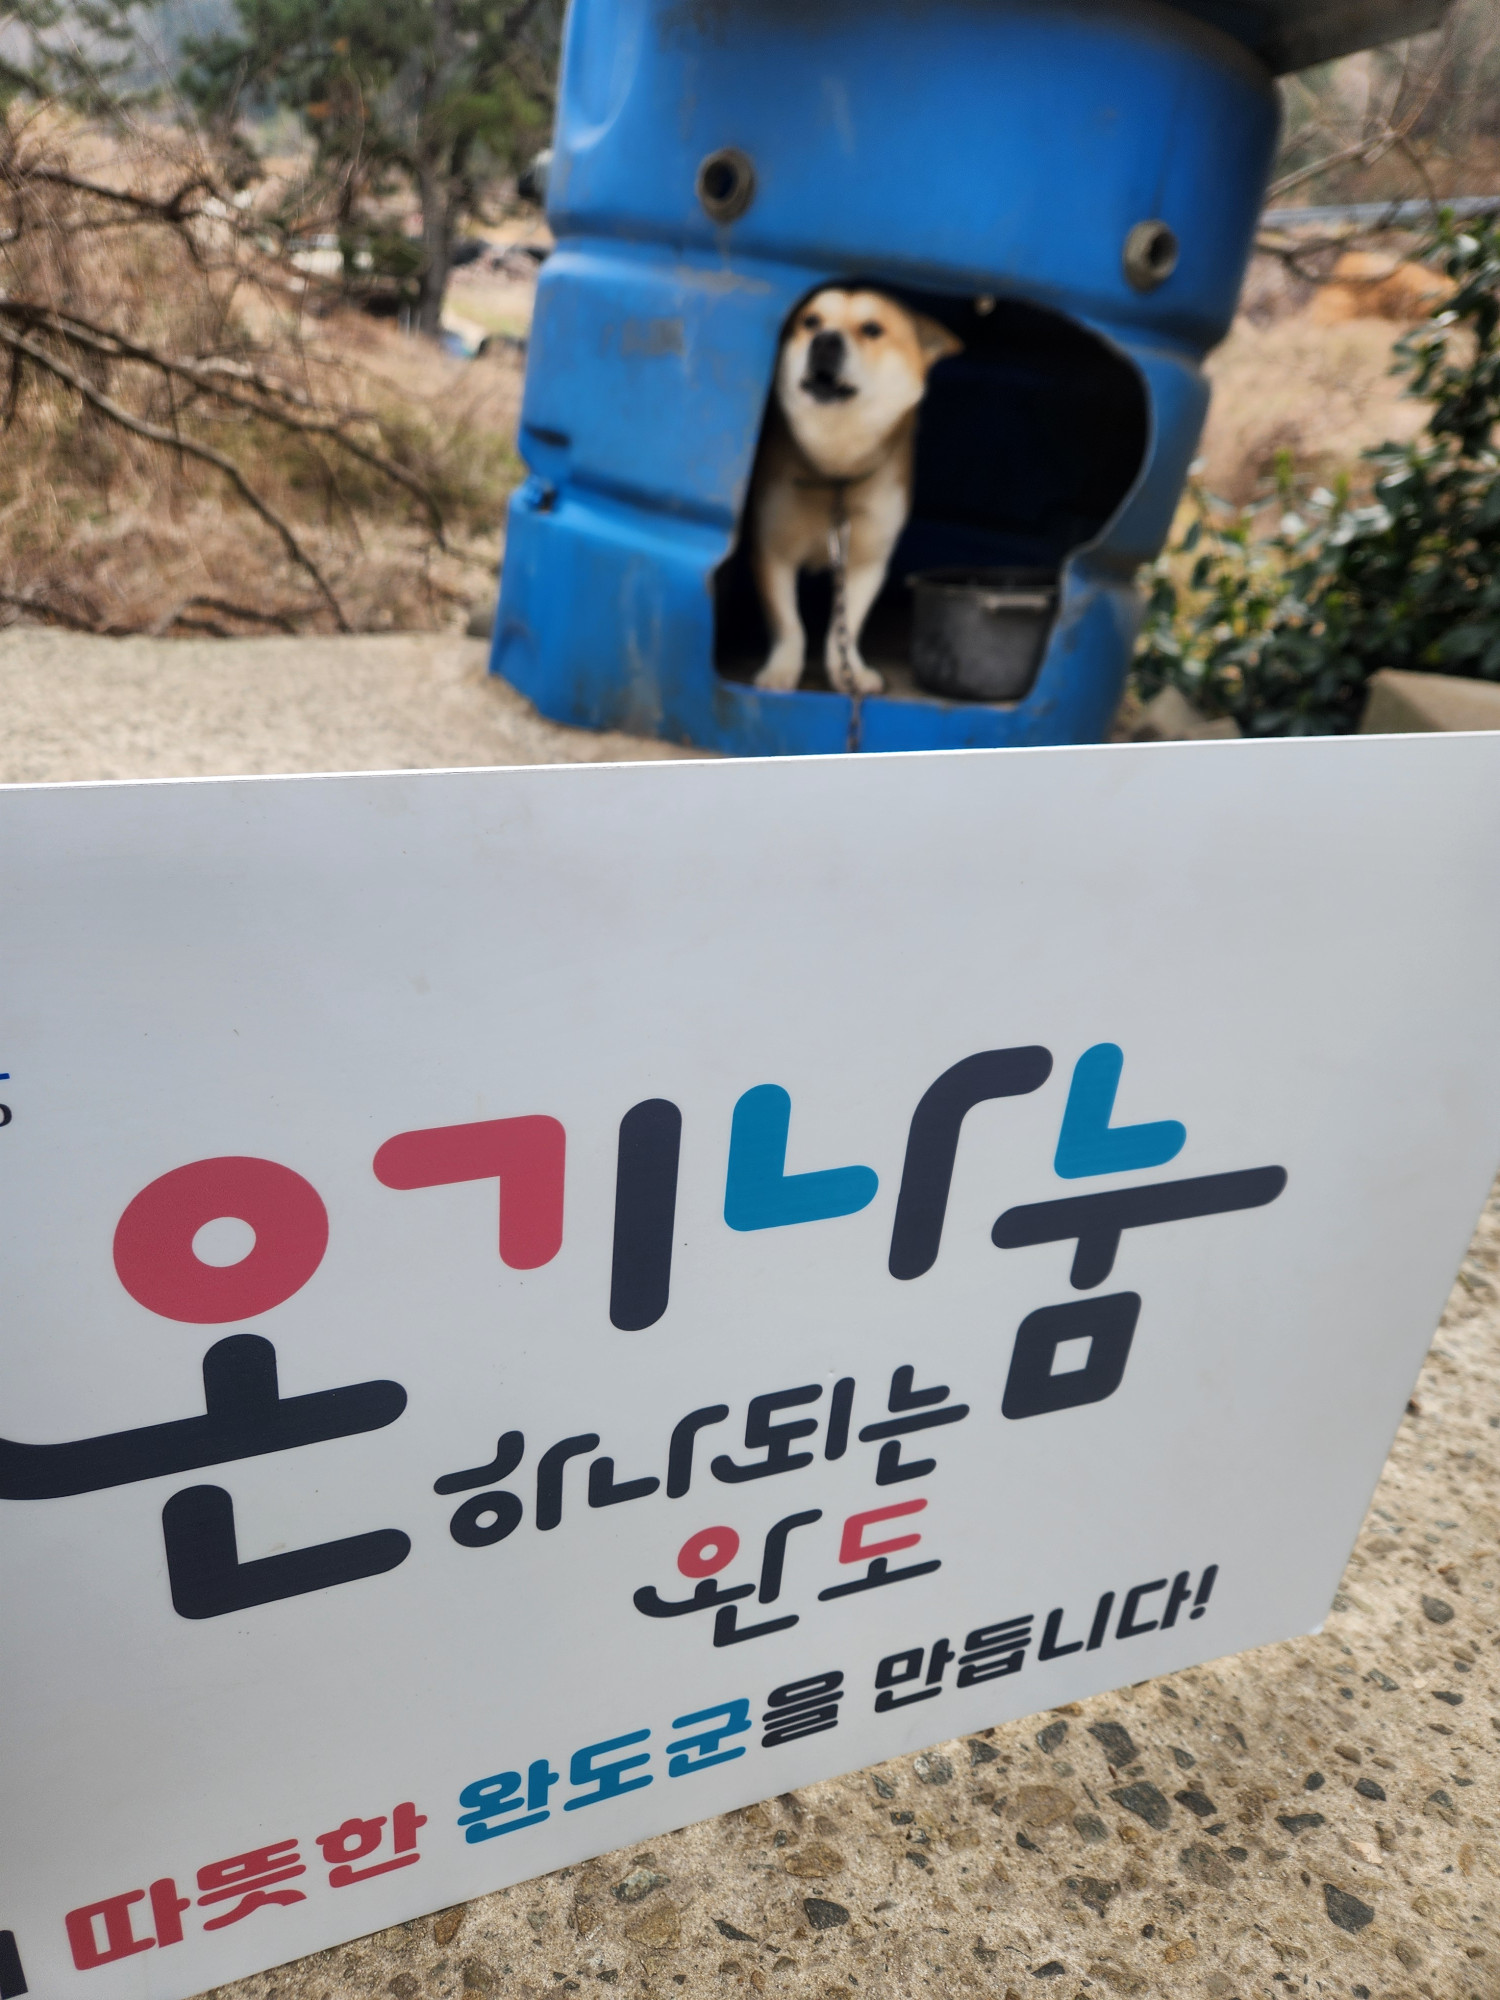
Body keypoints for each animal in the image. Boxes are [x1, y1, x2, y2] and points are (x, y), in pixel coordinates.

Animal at [749, 288, 961, 694]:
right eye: (810, 321)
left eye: (872, 329)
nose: (824, 340)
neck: (836, 471)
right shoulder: (772, 550)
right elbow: (789, 624)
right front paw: (782, 670)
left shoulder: (867, 561)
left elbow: (843, 628)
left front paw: (848, 671)